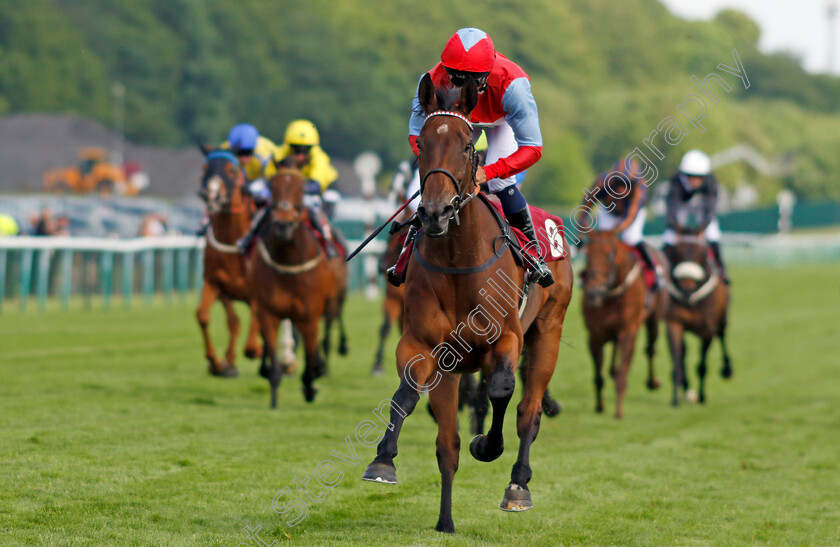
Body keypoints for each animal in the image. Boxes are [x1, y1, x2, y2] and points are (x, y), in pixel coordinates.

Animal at [195, 147, 260, 376]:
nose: (212, 194)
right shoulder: (215, 283)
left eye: (232, 170)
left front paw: (256, 349)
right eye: (205, 166)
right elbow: (204, 315)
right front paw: (217, 362)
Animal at [249, 169, 348, 408]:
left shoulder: (309, 315)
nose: (283, 225)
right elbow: (273, 354)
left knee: (326, 334)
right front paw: (274, 396)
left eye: (300, 189)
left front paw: (310, 386)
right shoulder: (268, 312)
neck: (288, 263)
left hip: (332, 302)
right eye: (273, 187)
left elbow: (310, 357)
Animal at [360, 75, 576, 532]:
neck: (459, 261)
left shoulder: (507, 339)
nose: (435, 212)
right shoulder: (423, 345)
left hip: (548, 330)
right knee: (447, 443)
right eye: (421, 144)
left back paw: (517, 486)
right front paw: (383, 460)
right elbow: (406, 396)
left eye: (464, 145)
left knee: (528, 411)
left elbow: (501, 388)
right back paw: (445, 521)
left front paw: (487, 445)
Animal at [580, 231, 668, 420]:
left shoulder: (628, 331)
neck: (611, 296)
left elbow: (623, 373)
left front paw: (618, 412)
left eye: (610, 256)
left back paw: (652, 382)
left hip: (654, 319)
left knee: (650, 348)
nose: (593, 292)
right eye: (587, 255)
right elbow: (598, 375)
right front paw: (600, 406)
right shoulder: (594, 335)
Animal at [664, 235, 728, 406]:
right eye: (675, 253)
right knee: (683, 352)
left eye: (703, 255)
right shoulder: (674, 323)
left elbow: (702, 366)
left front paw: (702, 397)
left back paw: (727, 369)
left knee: (722, 336)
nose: (686, 290)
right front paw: (675, 399)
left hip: (722, 319)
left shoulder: (707, 331)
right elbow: (677, 360)